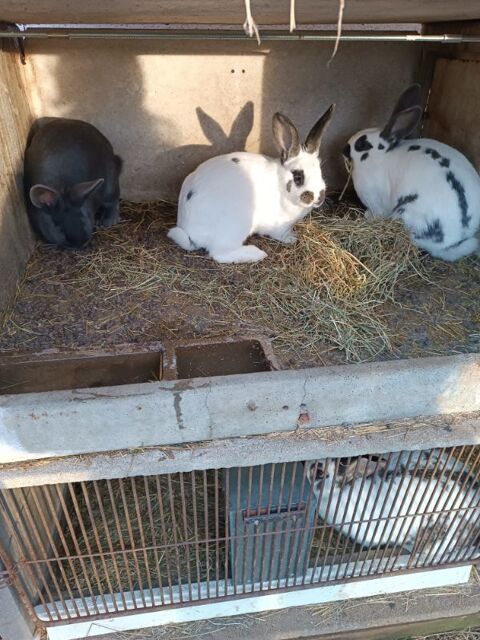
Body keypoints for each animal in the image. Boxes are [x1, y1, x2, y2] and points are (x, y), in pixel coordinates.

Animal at [24, 117, 123, 249]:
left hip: (110, 184)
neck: (62, 186)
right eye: (59, 229)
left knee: (113, 202)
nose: (80, 244)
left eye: (83, 218)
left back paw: (107, 222)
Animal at [168, 105, 335, 263]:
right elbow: (280, 234)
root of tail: (189, 231)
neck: (281, 186)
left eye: (320, 172)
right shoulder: (279, 226)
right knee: (219, 253)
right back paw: (257, 254)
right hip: (236, 226)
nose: (318, 197)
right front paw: (292, 238)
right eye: (298, 177)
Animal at [343, 84, 480, 261]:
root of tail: (456, 238)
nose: (343, 149)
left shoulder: (375, 200)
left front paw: (367, 217)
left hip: (409, 214)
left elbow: (376, 213)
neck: (380, 156)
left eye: (362, 144)